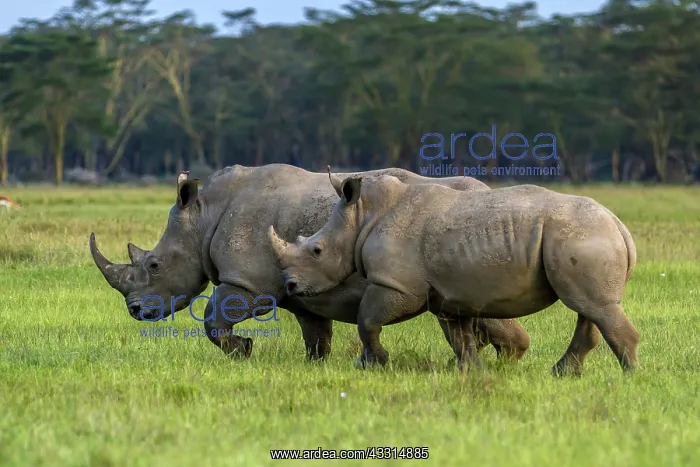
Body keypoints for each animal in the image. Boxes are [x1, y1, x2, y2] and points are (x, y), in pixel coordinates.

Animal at [89, 164, 531, 363]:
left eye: (154, 266)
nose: (135, 311)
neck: (201, 217)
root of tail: (485, 190)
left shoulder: (247, 283)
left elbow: (215, 320)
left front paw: (243, 351)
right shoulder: (301, 293)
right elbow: (316, 336)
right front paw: (314, 367)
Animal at [268, 172, 640, 375]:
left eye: (316, 251)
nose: (290, 284)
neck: (362, 216)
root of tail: (619, 224)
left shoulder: (398, 285)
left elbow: (367, 319)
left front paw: (374, 365)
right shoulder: (447, 296)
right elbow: (460, 337)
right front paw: (470, 372)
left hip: (581, 235)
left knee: (593, 307)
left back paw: (630, 377)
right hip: (582, 236)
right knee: (589, 308)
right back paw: (564, 374)